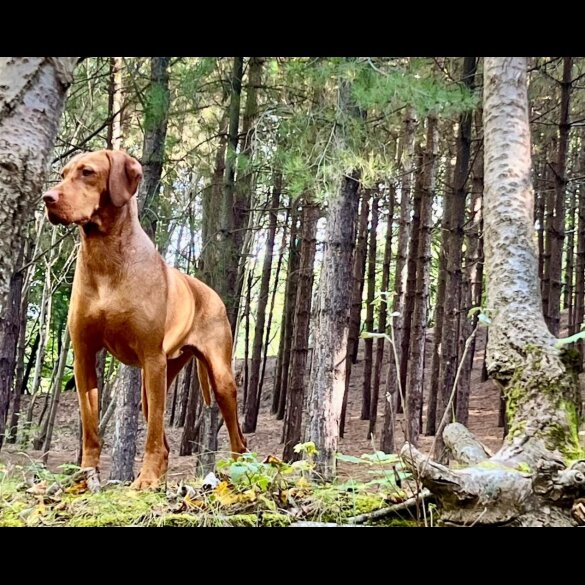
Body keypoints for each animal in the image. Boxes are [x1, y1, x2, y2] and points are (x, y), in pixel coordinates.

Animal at [42, 148, 246, 486]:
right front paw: (86, 476)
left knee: (236, 438)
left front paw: (146, 480)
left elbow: (150, 436)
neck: (105, 257)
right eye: (62, 174)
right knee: (164, 440)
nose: (47, 198)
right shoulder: (84, 355)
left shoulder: (151, 357)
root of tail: (211, 293)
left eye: (87, 172)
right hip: (158, 381)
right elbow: (90, 428)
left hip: (217, 376)